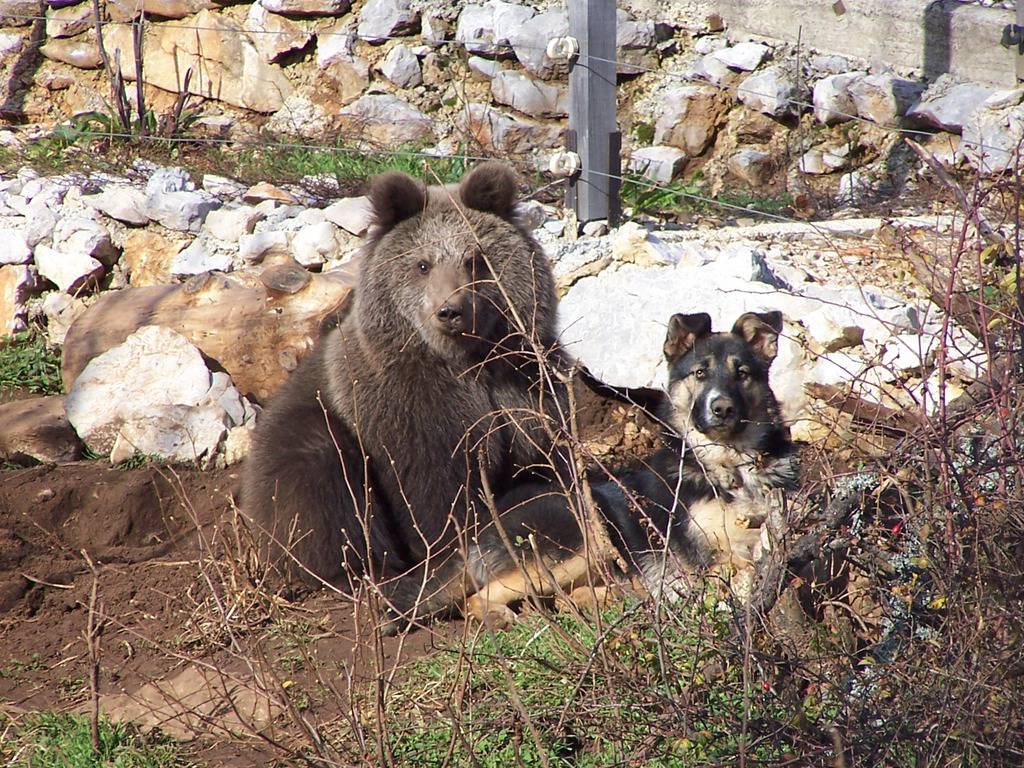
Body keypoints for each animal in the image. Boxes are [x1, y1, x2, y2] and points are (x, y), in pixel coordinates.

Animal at [385, 309, 798, 626]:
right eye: (700, 373)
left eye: (742, 373)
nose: (721, 408)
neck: (731, 466)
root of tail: (479, 526)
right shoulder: (704, 557)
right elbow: (737, 568)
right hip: (582, 537)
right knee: (479, 598)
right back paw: (503, 616)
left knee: (575, 595)